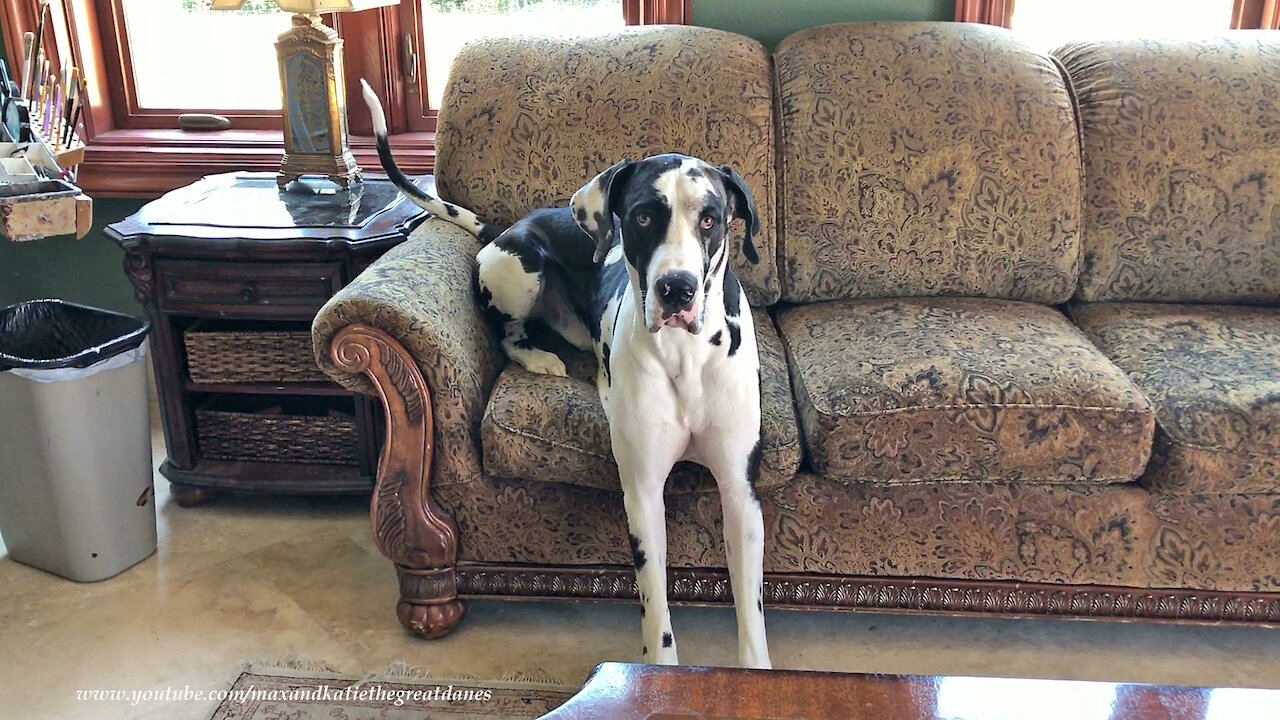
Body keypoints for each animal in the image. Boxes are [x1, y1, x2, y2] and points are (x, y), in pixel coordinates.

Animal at [360, 81, 768, 666]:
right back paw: (542, 359)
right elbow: (656, 612)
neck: (685, 355)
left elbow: (750, 615)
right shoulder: (643, 491)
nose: (677, 289)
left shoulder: (740, 491)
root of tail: (507, 226)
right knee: (506, 332)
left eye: (710, 218)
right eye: (643, 217)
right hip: (519, 268)